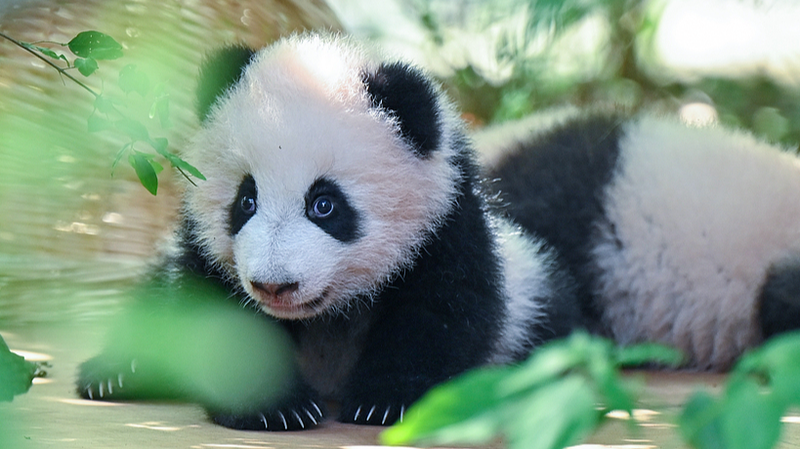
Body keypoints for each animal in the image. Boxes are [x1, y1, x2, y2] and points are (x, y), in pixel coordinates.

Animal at [77, 33, 580, 430]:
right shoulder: (205, 250)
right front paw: (273, 409)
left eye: (324, 205)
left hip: (531, 296)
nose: (273, 286)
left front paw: (386, 402)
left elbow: (443, 310)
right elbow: (215, 316)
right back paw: (115, 374)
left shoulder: (447, 226)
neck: (327, 315)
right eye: (246, 200)